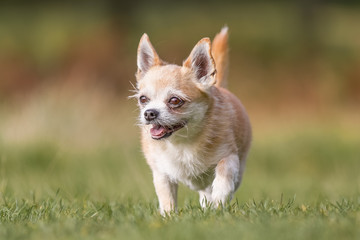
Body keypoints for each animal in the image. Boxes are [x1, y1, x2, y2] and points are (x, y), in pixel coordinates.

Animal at [132, 27, 250, 215]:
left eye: (174, 101)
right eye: (143, 99)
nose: (149, 113)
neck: (182, 142)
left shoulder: (230, 157)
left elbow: (223, 177)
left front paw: (220, 201)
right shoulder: (161, 173)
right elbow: (167, 198)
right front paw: (169, 216)